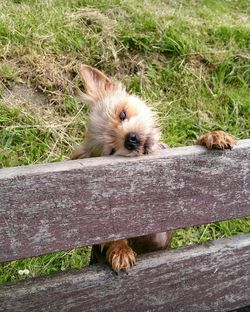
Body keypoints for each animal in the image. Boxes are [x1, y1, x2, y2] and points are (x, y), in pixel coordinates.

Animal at [71, 64, 236, 272]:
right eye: (111, 150)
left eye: (122, 115)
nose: (130, 140)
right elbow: (117, 231)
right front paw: (120, 250)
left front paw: (214, 136)